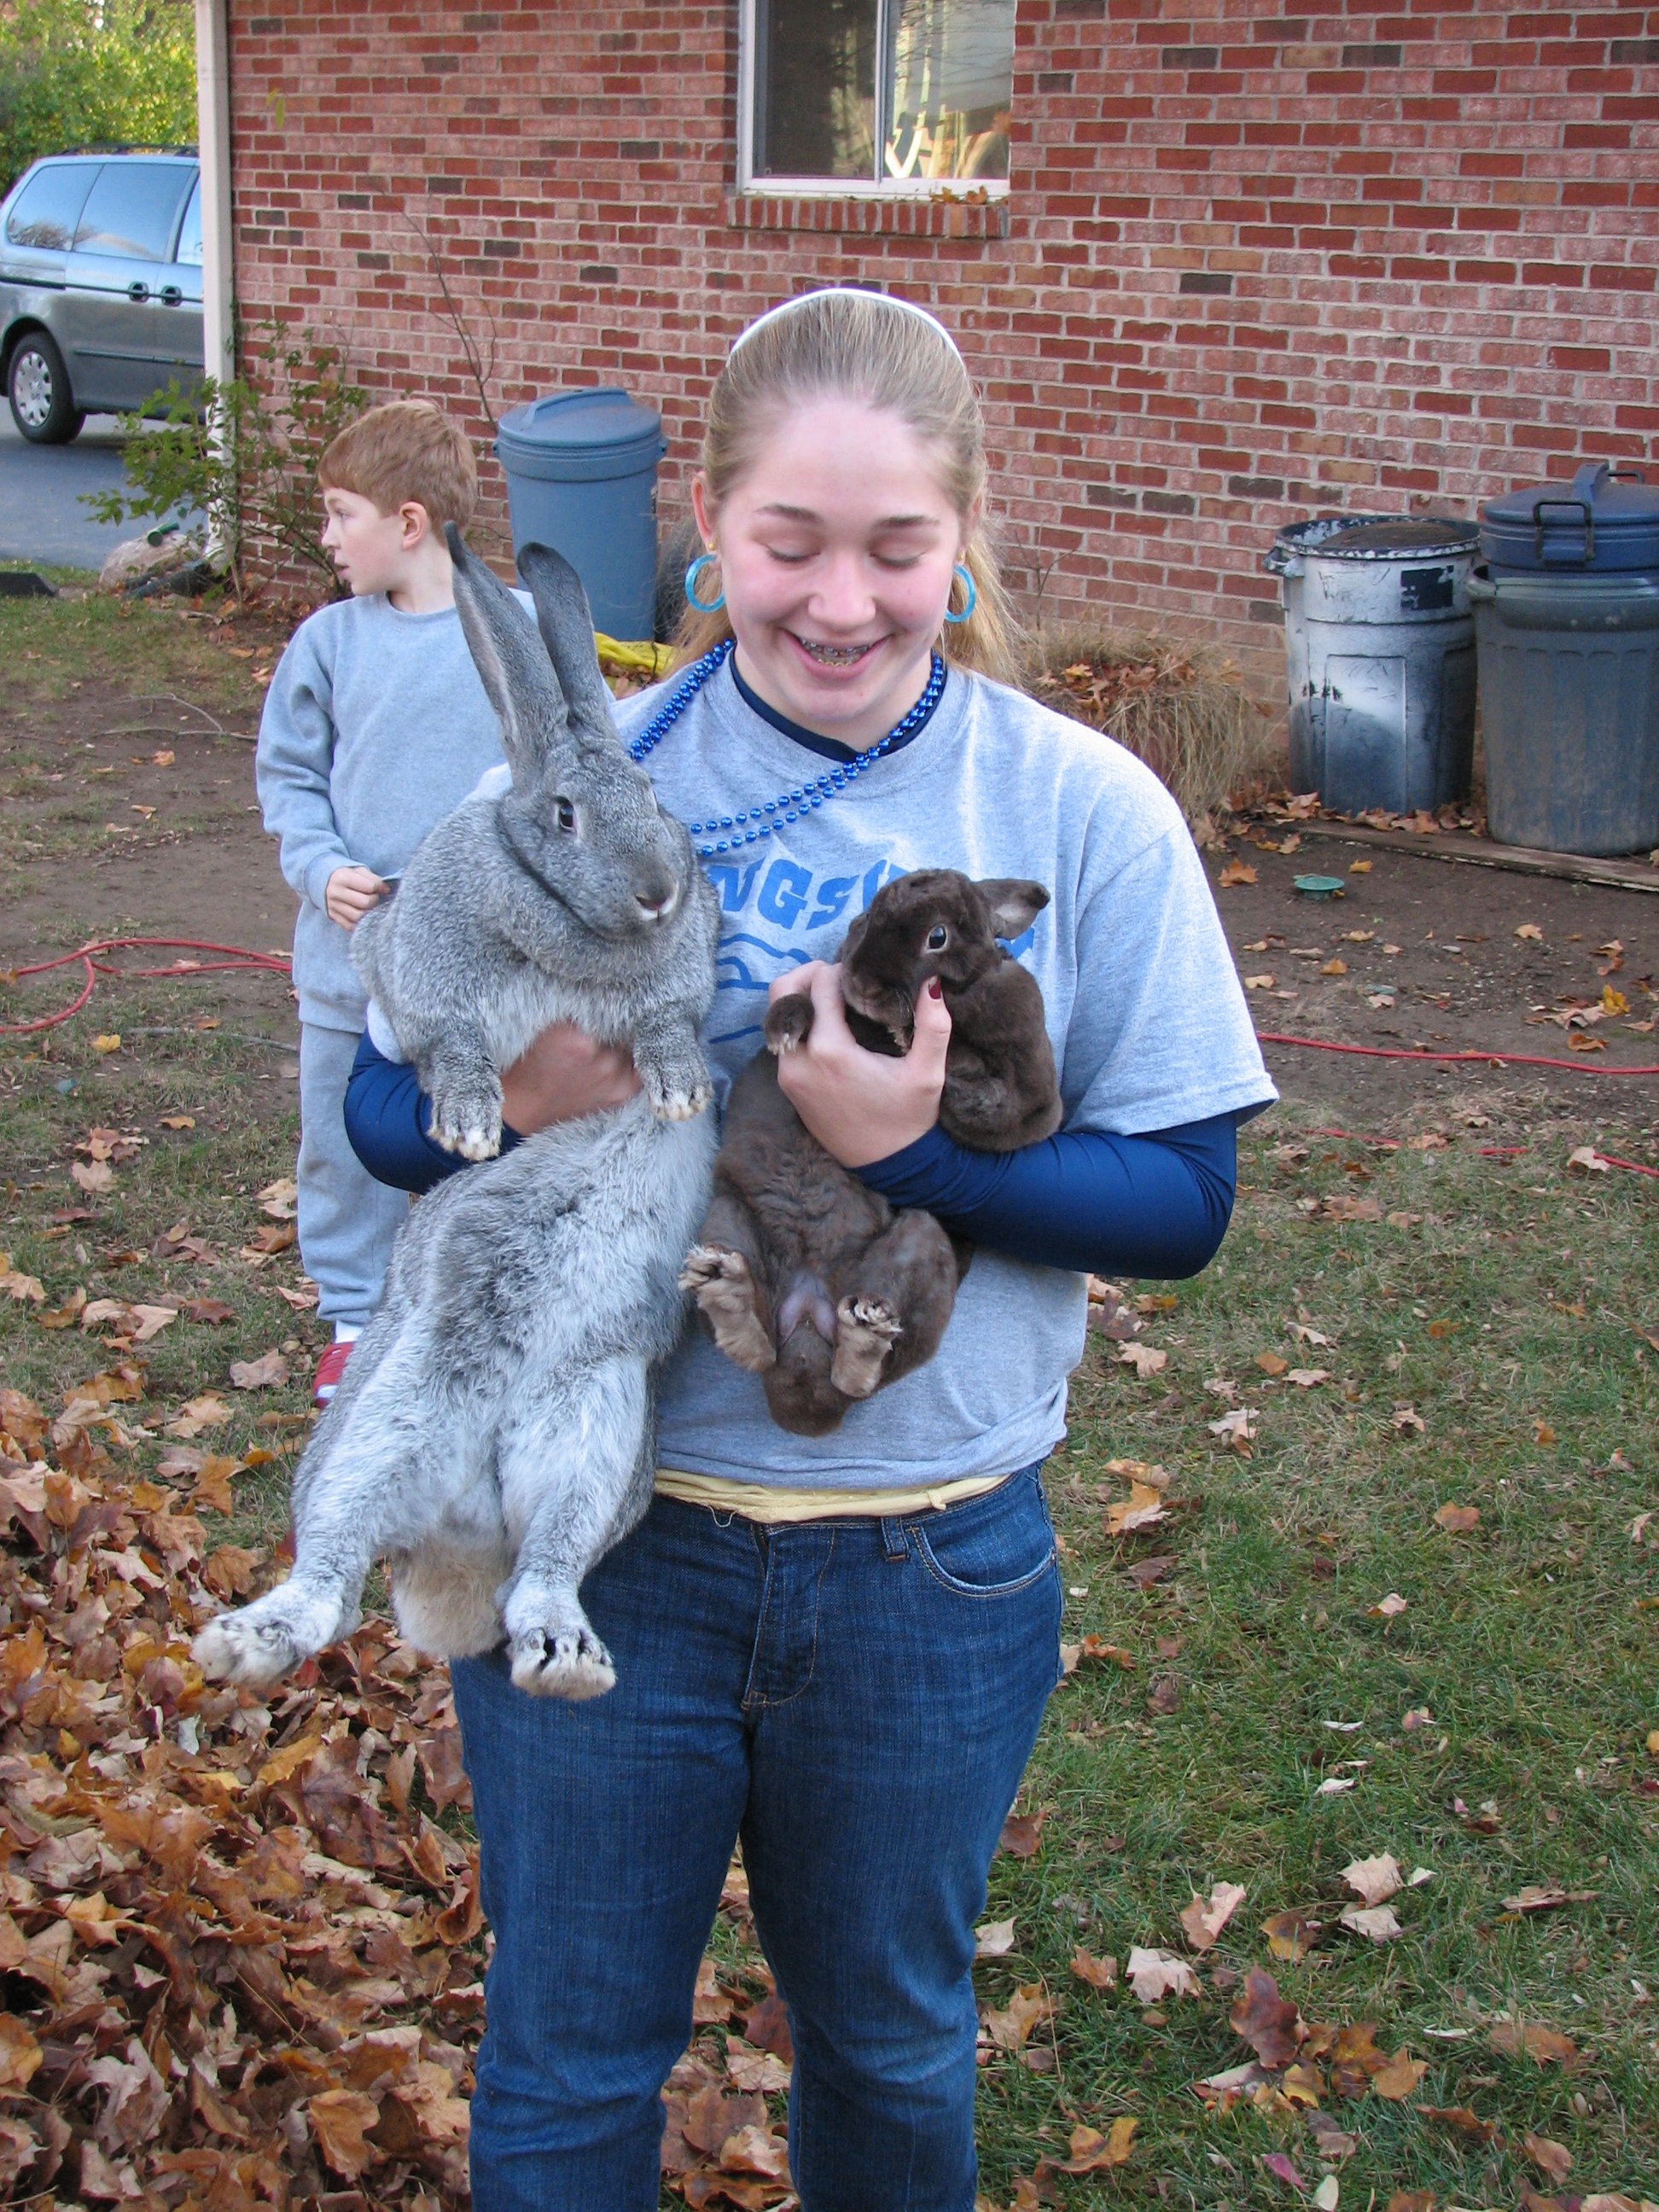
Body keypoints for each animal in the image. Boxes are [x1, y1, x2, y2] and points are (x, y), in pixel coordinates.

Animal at [195, 539, 720, 1708]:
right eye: (566, 813)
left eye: (651, 791)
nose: (661, 893)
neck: (573, 933)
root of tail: (463, 1535)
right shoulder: (415, 987)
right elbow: (448, 1049)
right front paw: (473, 1130)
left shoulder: (676, 990)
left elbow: (670, 1025)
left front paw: (678, 1091)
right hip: (382, 1424)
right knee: (329, 1571)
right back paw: (243, 1644)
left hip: (594, 1435)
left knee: (545, 1572)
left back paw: (564, 1659)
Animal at [685, 871, 1066, 1441]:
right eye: (863, 919)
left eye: (937, 937)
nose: (863, 985)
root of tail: (807, 1322)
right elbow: (803, 1002)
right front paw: (784, 1031)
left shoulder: (1031, 1085)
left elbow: (999, 1102)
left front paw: (918, 1043)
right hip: (727, 1219)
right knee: (760, 1339)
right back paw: (729, 1294)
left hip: (920, 1252)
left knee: (867, 1373)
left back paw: (860, 1339)